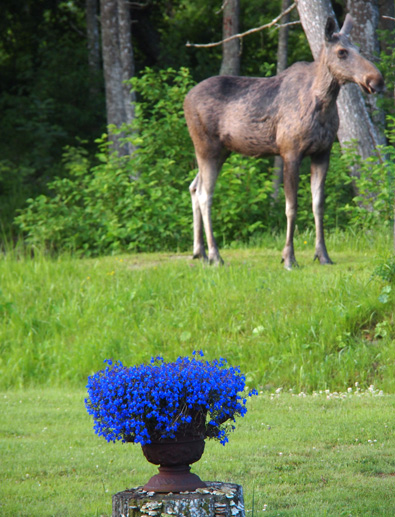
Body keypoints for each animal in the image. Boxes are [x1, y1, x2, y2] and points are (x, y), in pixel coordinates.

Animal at [184, 14, 386, 268]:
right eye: (341, 52)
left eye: (358, 48)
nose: (377, 80)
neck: (324, 103)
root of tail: (185, 99)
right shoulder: (290, 151)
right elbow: (291, 207)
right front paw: (289, 257)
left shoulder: (323, 152)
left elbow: (318, 204)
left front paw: (323, 255)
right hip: (207, 147)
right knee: (204, 194)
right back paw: (215, 255)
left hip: (221, 151)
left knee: (193, 186)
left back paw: (199, 251)